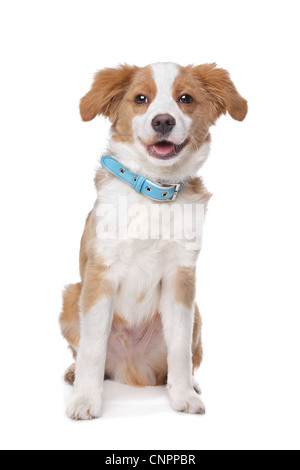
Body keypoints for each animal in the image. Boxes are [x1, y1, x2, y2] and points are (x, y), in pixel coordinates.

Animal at [59, 61, 247, 418]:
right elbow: (92, 347)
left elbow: (180, 348)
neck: (154, 192)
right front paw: (85, 399)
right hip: (71, 296)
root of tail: (132, 369)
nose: (163, 121)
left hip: (197, 313)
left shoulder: (181, 276)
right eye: (141, 99)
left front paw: (183, 395)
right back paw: (75, 375)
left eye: (185, 99)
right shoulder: (100, 274)